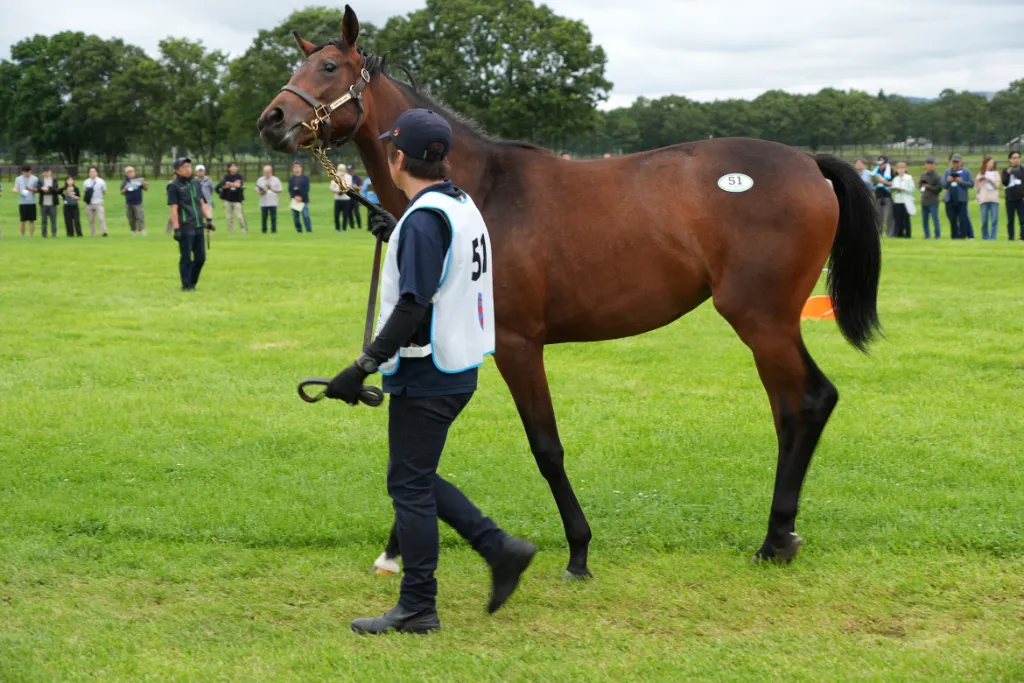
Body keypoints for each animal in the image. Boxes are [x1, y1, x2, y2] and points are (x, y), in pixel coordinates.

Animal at [257, 6, 882, 580]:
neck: (476, 189)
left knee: (808, 402)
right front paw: (395, 547)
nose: (271, 119)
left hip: (762, 319)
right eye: (297, 65)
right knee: (791, 410)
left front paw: (578, 550)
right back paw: (782, 533)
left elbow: (544, 446)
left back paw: (775, 539)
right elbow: (426, 445)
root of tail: (809, 163)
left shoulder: (516, 344)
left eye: (329, 67)